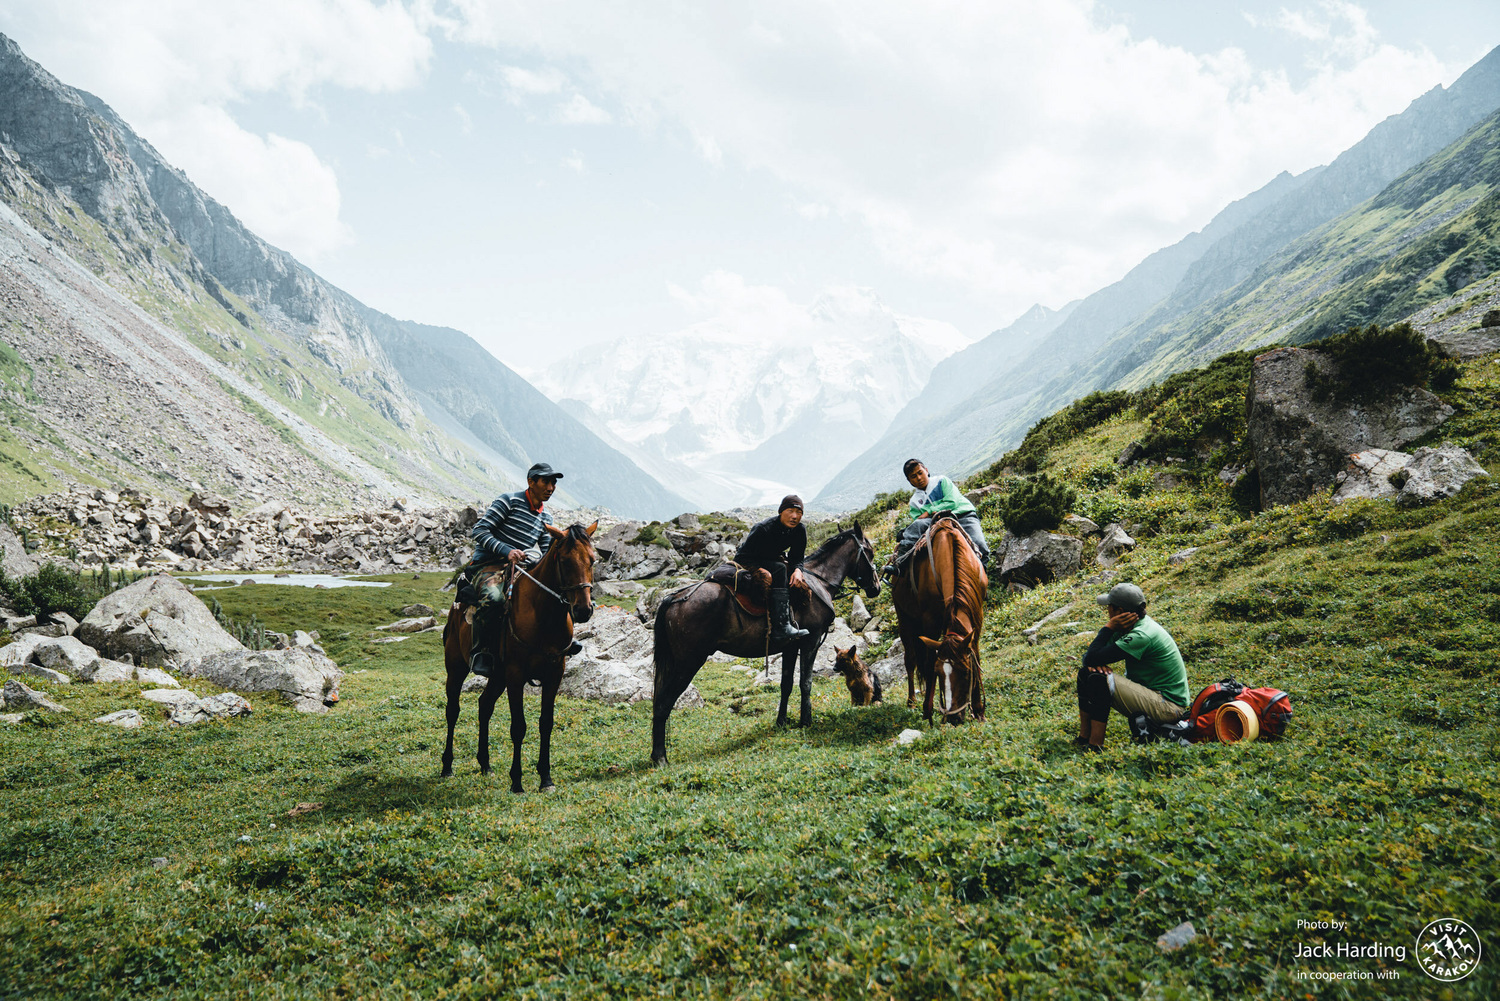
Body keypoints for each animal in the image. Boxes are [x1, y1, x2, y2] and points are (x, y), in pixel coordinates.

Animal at [438, 522, 597, 792]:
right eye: (564, 561)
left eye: (593, 560)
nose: (583, 610)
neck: (544, 617)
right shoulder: (515, 675)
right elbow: (519, 727)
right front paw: (517, 781)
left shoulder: (554, 675)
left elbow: (546, 723)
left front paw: (546, 778)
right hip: (457, 668)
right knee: (453, 710)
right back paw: (447, 766)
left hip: (496, 676)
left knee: (484, 706)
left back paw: (485, 764)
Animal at [654, 525, 882, 768]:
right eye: (869, 552)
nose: (876, 587)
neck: (818, 583)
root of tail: (676, 598)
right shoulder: (810, 642)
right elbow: (806, 683)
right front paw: (806, 721)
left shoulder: (791, 647)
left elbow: (786, 685)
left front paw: (782, 722)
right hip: (688, 662)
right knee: (663, 702)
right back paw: (660, 758)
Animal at [888, 516, 984, 720]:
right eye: (939, 673)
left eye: (966, 672)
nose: (954, 718)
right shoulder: (930, 621)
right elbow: (929, 661)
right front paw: (927, 709)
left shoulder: (976, 615)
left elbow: (976, 653)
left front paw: (979, 710)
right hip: (905, 619)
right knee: (911, 660)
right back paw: (911, 701)